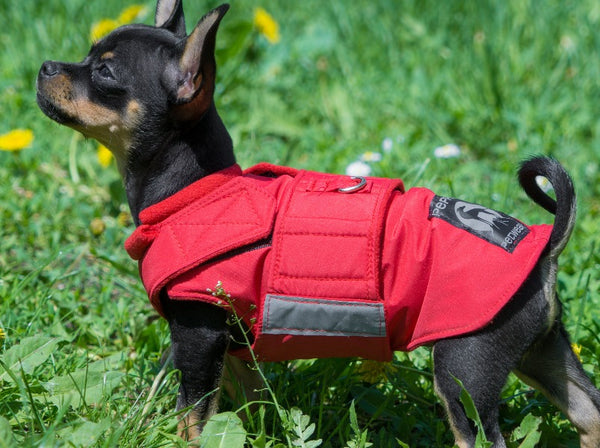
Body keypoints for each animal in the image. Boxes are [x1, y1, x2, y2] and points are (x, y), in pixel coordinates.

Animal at [37, 1, 600, 446]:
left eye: (104, 74)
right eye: (86, 56)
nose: (43, 66)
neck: (196, 193)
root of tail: (545, 250)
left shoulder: (196, 338)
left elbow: (192, 416)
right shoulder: (234, 347)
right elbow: (249, 406)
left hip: (466, 370)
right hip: (543, 354)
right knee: (590, 414)